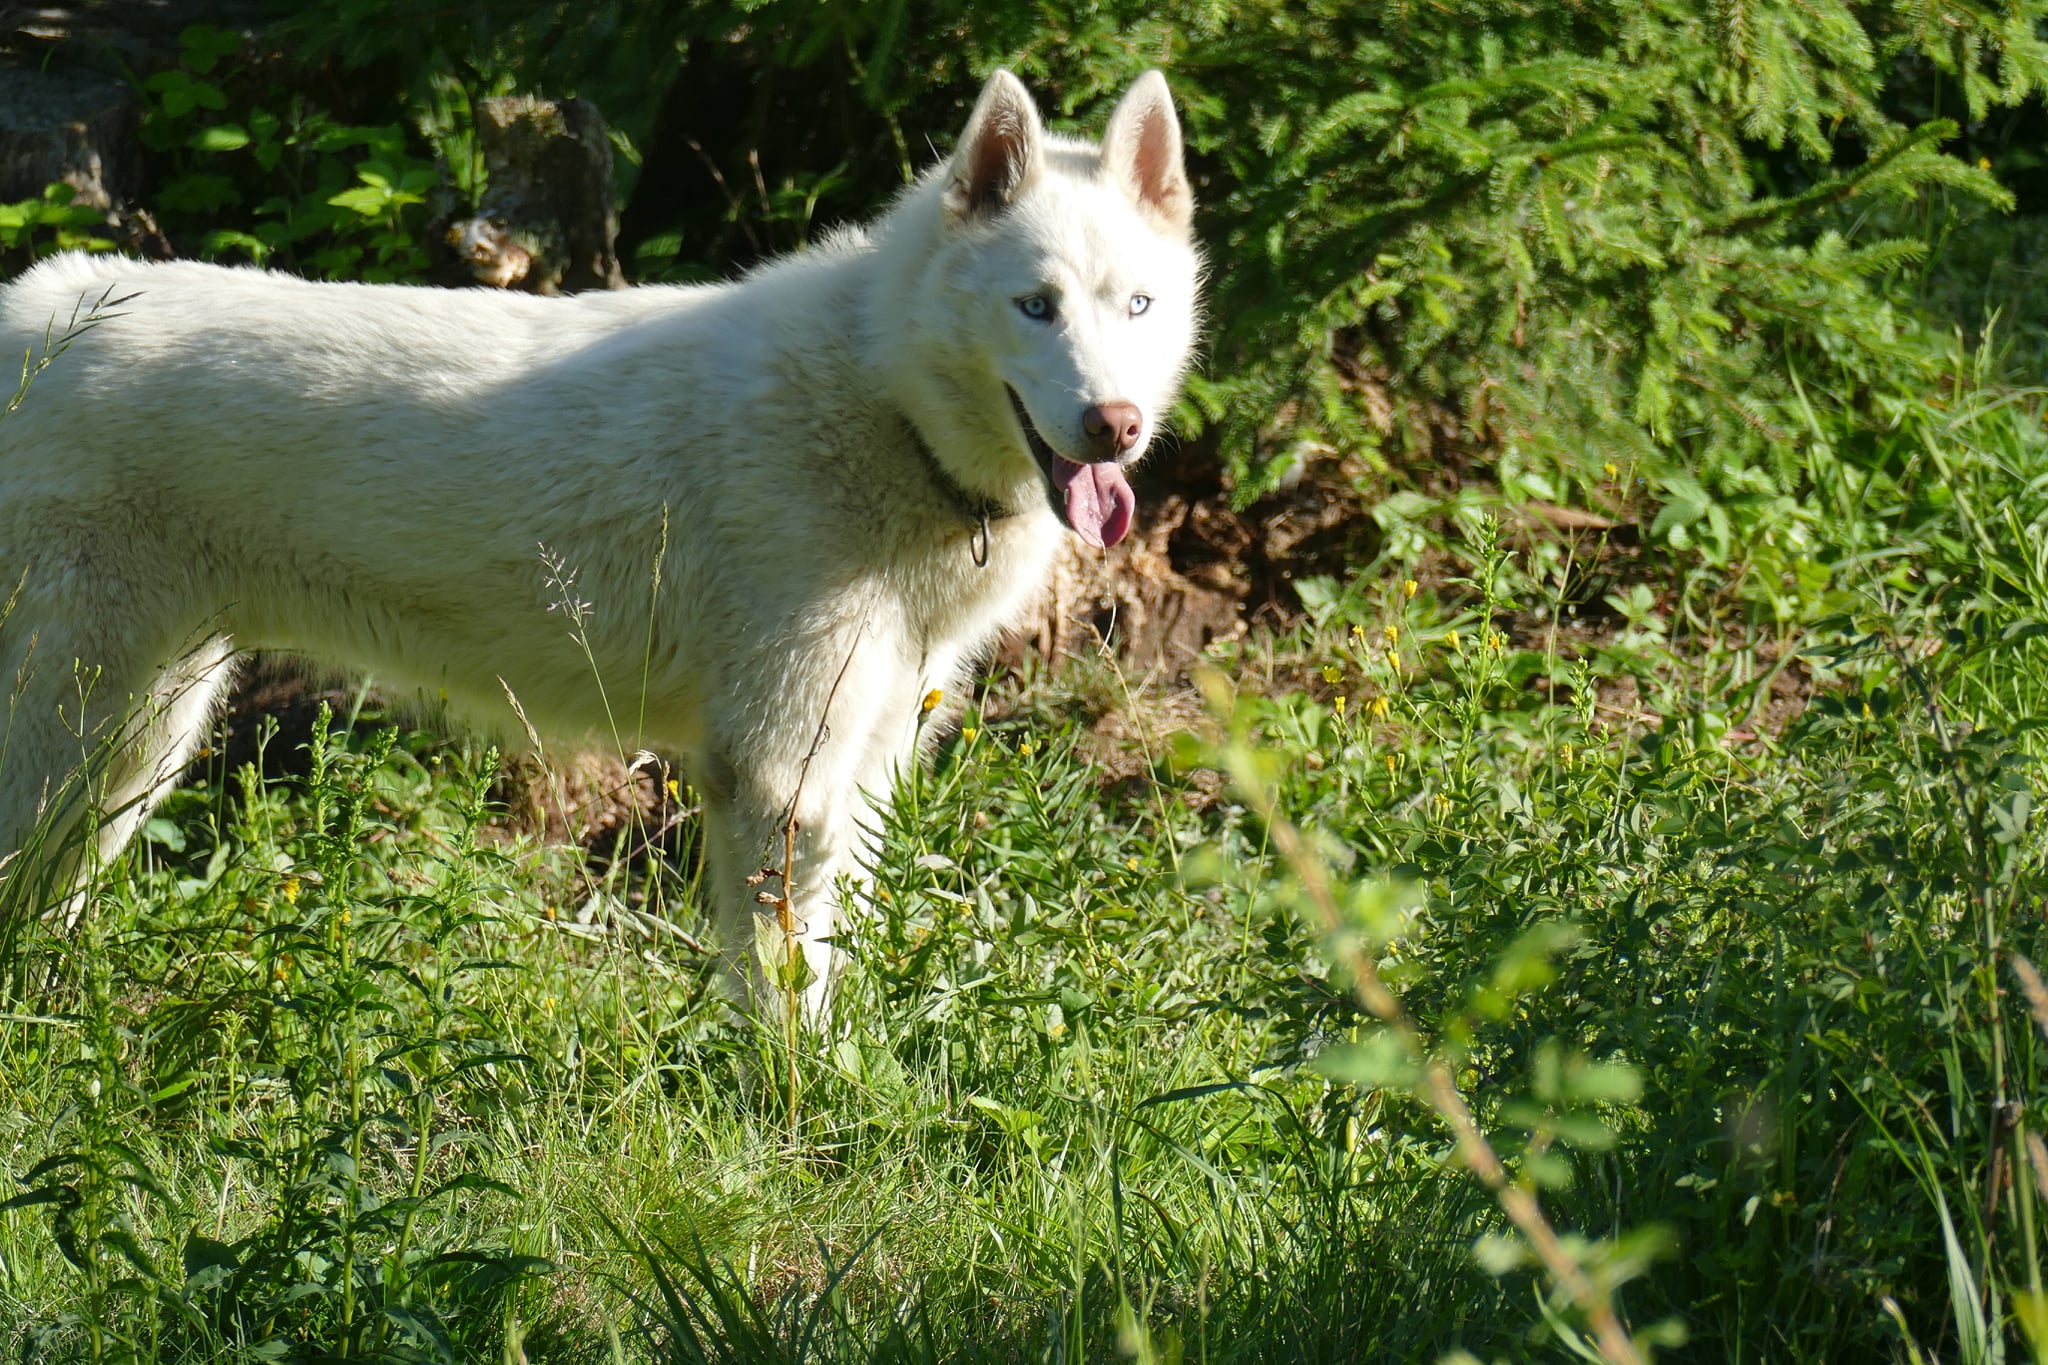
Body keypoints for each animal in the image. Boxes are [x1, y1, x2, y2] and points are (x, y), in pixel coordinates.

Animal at [0, 72, 1196, 1015]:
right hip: (82, 726)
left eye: (1135, 305)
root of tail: (32, 311)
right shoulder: (778, 778)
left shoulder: (863, 765)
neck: (878, 399)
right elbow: (787, 994)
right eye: (1035, 306)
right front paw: (800, 1118)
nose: (1115, 427)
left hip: (136, 746)